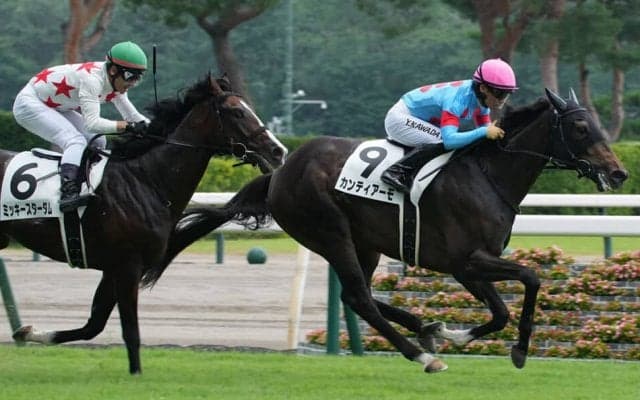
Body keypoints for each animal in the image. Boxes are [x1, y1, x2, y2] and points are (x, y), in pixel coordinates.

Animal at [0, 74, 287, 374]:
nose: (278, 151)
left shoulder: (113, 268)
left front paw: (29, 332)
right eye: (237, 112)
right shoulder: (128, 265)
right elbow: (130, 330)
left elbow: (94, 325)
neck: (146, 181)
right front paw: (136, 374)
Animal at [148, 88, 627, 374]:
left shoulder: (471, 266)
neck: (488, 175)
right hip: (330, 232)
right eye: (580, 127)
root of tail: (280, 170)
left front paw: (453, 333)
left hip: (367, 244)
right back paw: (421, 353)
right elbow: (531, 278)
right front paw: (517, 350)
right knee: (359, 296)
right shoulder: (467, 261)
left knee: (355, 295)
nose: (619, 172)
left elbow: (501, 312)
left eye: (597, 124)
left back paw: (424, 328)